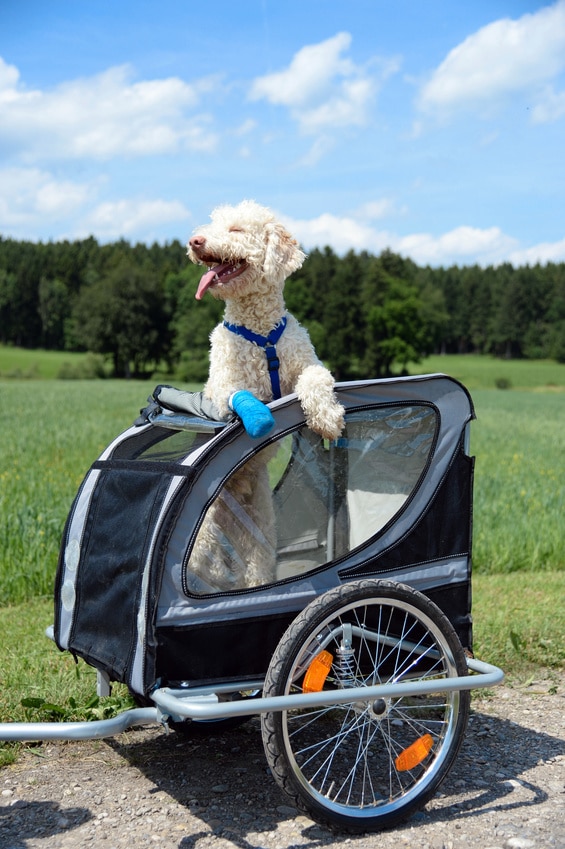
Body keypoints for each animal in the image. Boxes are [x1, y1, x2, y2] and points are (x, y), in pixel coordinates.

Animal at [184, 201, 344, 592]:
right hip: (204, 537)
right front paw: (258, 416)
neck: (261, 334)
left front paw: (327, 417)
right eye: (212, 225)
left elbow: (317, 379)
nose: (195, 241)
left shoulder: (306, 362)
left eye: (237, 230)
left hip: (259, 528)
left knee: (256, 569)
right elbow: (239, 395)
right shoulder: (223, 387)